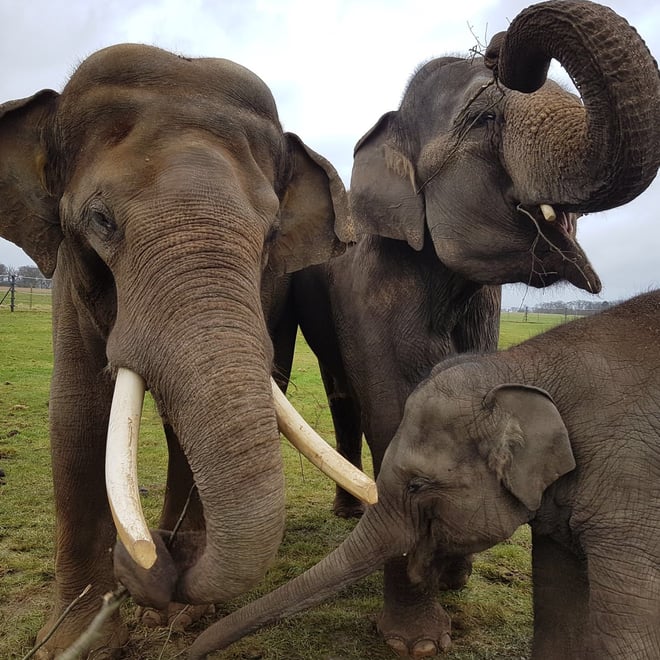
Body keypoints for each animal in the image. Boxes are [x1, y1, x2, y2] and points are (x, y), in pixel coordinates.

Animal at [0, 43, 359, 658]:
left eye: (270, 235)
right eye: (100, 220)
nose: (162, 552)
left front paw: (181, 619)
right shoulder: (68, 269)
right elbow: (77, 414)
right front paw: (73, 643)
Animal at [277, 0, 660, 655]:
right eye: (482, 118)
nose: (500, 43)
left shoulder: (486, 305)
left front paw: (455, 576)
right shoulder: (370, 291)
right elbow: (392, 414)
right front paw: (416, 641)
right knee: (342, 391)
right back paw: (348, 514)